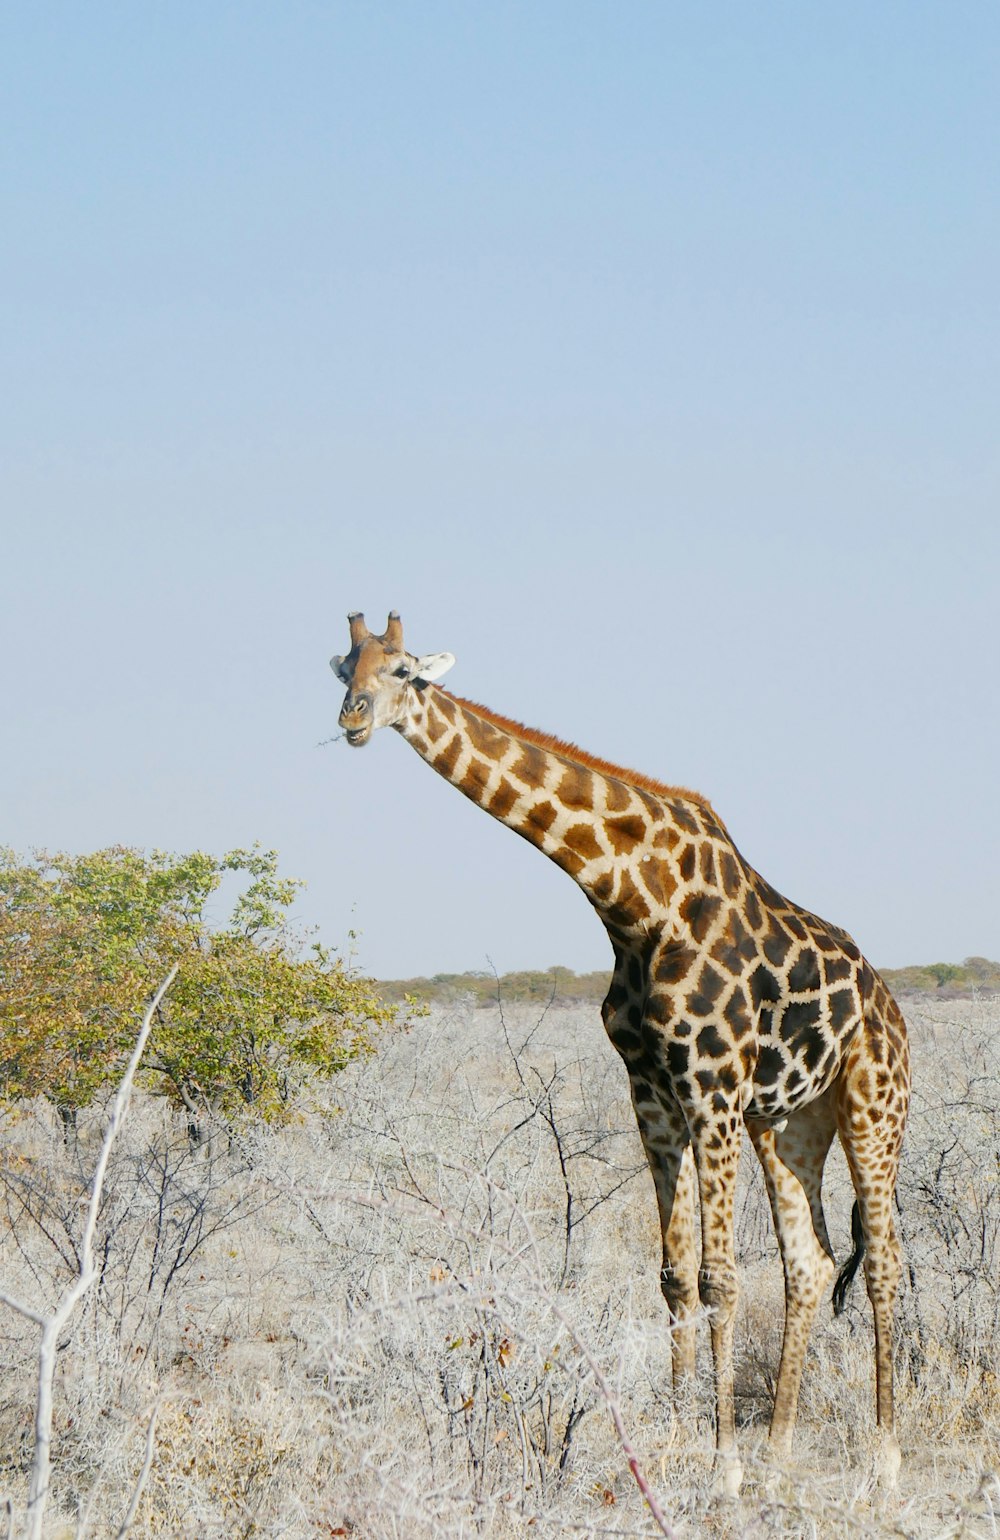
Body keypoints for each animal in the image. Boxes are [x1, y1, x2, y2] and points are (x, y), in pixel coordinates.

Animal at [331, 609, 906, 1490]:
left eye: (404, 671)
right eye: (343, 669)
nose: (353, 719)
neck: (631, 901)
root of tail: (894, 1010)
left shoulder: (712, 1090)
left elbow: (719, 1277)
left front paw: (722, 1466)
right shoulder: (654, 1094)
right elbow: (673, 1277)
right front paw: (674, 1446)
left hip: (874, 1106)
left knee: (882, 1262)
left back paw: (883, 1461)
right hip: (791, 1123)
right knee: (810, 1263)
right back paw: (780, 1450)